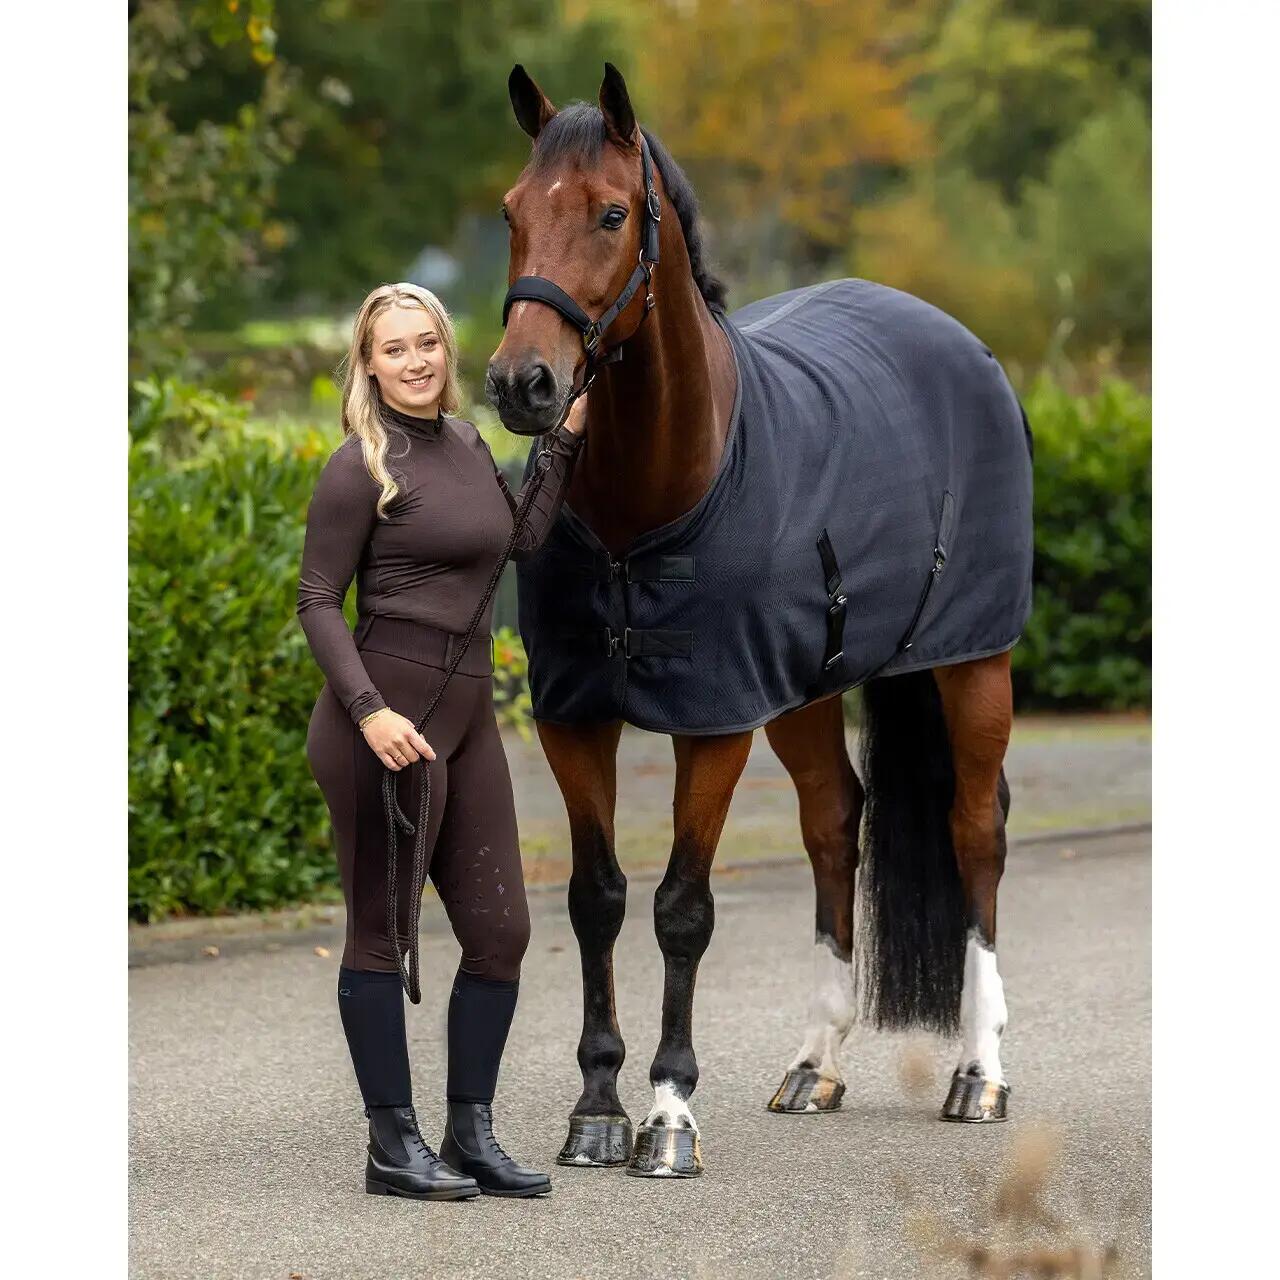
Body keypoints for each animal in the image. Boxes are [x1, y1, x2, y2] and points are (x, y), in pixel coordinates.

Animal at [485, 63, 1033, 1179]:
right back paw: (815, 1062)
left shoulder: (715, 720)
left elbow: (681, 908)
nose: (523, 385)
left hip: (973, 664)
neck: (647, 502)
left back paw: (979, 1071)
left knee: (975, 830)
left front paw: (666, 1114)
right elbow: (597, 898)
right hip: (809, 688)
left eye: (611, 213)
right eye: (513, 212)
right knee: (834, 824)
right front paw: (595, 1107)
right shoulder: (576, 716)